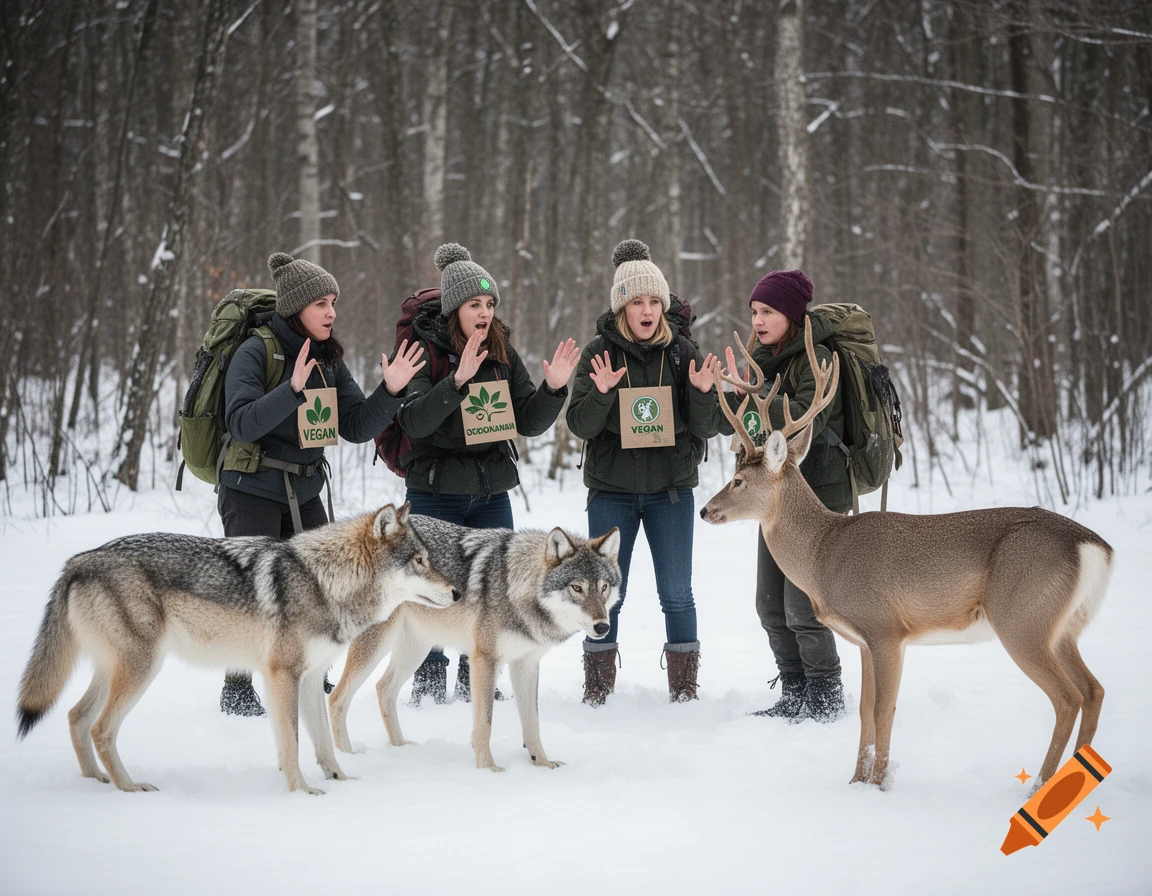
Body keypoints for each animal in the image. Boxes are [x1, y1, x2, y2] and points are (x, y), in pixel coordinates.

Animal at [16, 503, 458, 794]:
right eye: (420, 561)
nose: (456, 592)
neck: (322, 581)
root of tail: (79, 560)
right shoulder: (281, 675)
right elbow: (292, 742)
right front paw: (302, 792)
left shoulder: (312, 678)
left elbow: (322, 743)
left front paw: (341, 781)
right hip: (143, 668)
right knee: (99, 728)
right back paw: (129, 788)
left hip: (115, 670)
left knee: (75, 717)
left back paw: (94, 782)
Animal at [329, 519, 621, 772]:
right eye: (577, 588)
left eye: (604, 587)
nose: (602, 627)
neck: (516, 589)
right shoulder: (484, 660)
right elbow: (485, 724)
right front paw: (488, 769)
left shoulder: (526, 664)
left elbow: (533, 723)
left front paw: (542, 764)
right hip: (377, 645)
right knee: (337, 697)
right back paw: (347, 756)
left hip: (417, 648)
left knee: (383, 688)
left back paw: (400, 747)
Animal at [700, 319, 1111, 789]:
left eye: (738, 481)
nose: (704, 510)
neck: (824, 554)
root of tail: (1094, 546)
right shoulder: (863, 638)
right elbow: (864, 710)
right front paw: (855, 782)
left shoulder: (886, 627)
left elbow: (884, 709)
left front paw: (879, 784)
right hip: (1063, 625)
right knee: (1094, 689)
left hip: (1022, 616)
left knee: (1067, 697)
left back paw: (1040, 785)